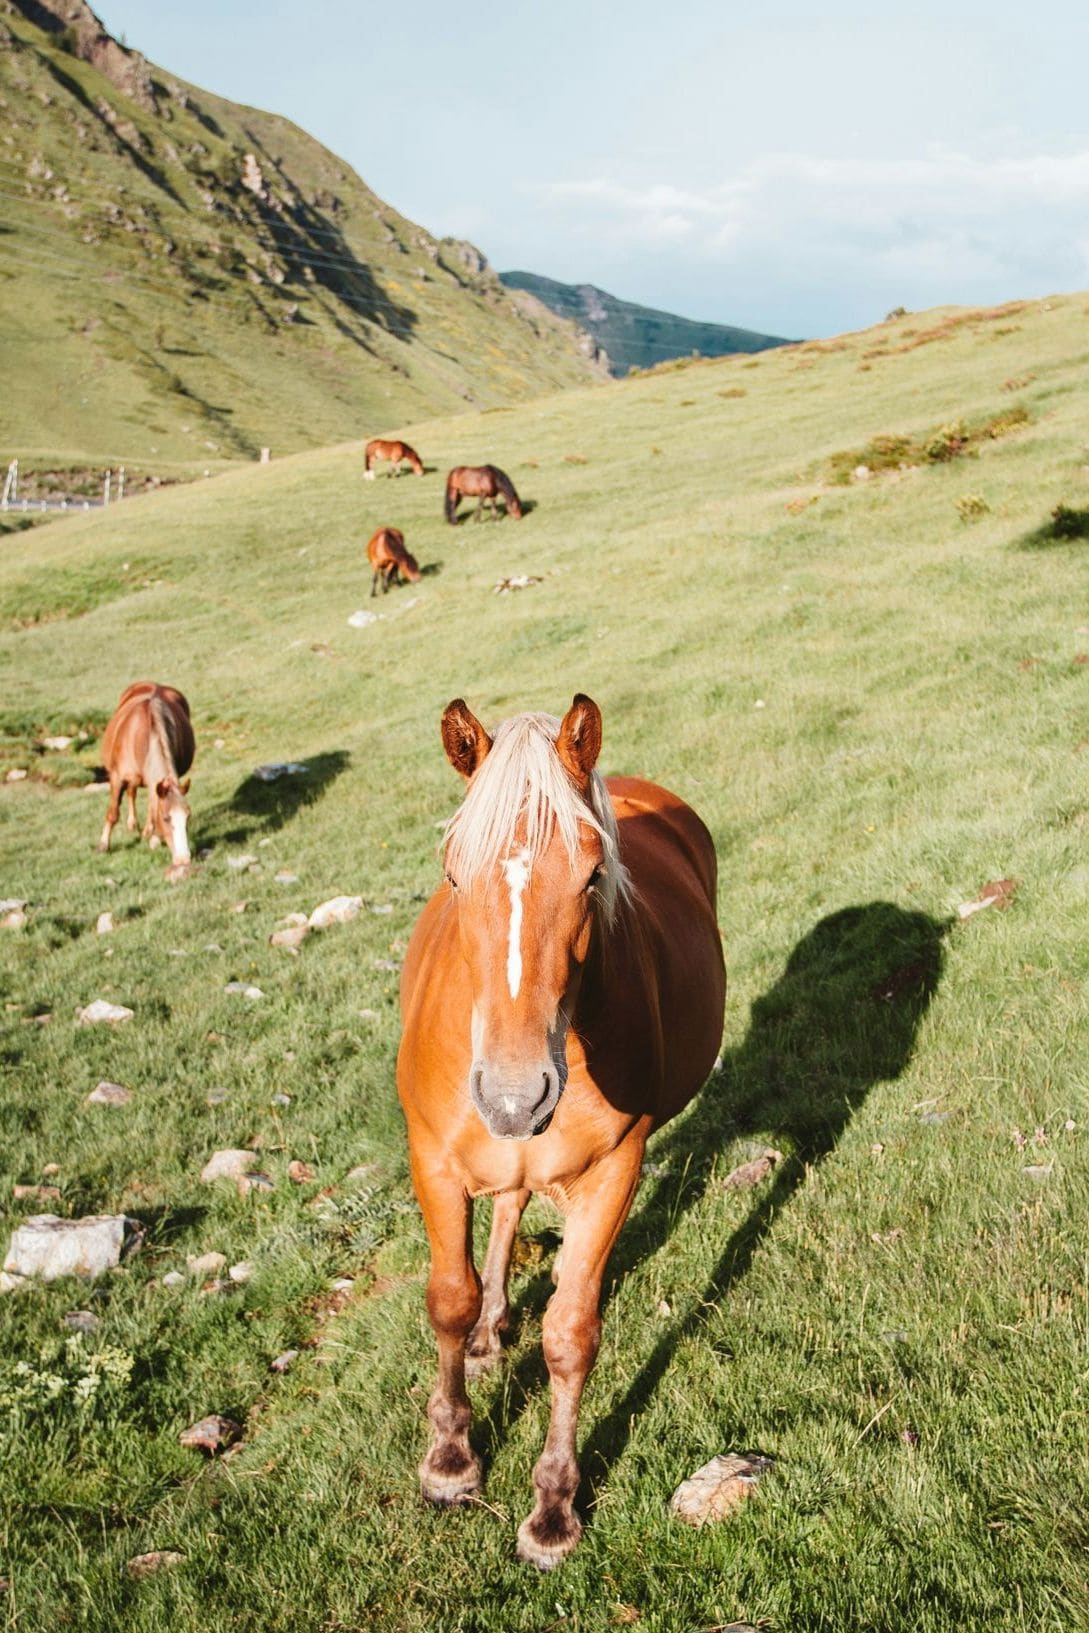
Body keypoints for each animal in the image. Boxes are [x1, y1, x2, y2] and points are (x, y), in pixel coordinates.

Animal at [97, 682, 195, 874]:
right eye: (166, 818)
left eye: (187, 817)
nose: (183, 860)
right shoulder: (117, 777)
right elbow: (113, 813)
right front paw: (104, 845)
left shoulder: (157, 783)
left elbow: (152, 807)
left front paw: (154, 838)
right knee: (131, 793)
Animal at [397, 695, 725, 1568]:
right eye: (452, 873)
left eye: (590, 875)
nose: (514, 1094)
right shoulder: (432, 1159)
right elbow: (447, 1299)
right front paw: (450, 1458)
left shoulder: (614, 1169)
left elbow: (570, 1334)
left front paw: (552, 1506)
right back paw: (488, 1328)